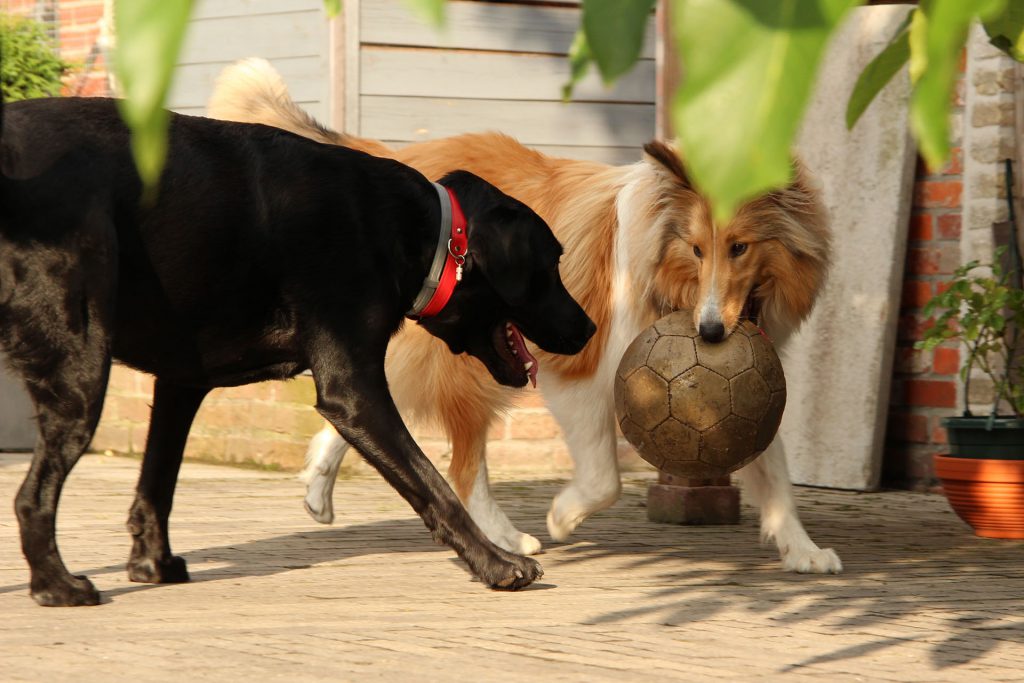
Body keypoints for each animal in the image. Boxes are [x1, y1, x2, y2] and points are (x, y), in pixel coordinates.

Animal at [0, 98, 598, 606]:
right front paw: (496, 564)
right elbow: (432, 484)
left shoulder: (181, 382)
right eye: (551, 262)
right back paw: (56, 586)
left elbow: (158, 479)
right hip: (79, 373)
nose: (589, 328)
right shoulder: (352, 391)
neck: (423, 231)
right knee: (31, 496)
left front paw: (153, 562)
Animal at [207, 58, 839, 573]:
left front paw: (803, 549)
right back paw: (508, 540)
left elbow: (771, 465)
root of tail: (397, 159)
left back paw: (319, 484)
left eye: (740, 247)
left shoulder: (752, 375)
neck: (666, 268)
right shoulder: (584, 371)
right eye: (697, 248)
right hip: (475, 360)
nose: (709, 333)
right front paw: (564, 515)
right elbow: (604, 478)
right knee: (463, 466)